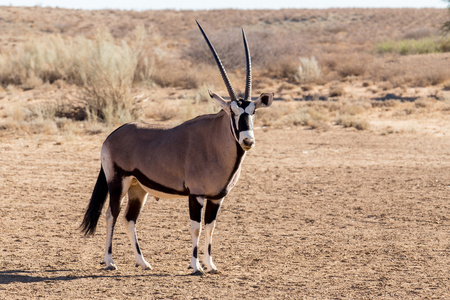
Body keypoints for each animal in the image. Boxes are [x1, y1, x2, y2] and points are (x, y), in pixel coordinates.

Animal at [79, 20, 272, 274]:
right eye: (232, 111)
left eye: (253, 111)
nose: (247, 141)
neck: (215, 141)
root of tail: (112, 135)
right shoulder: (196, 195)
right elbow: (196, 227)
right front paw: (196, 266)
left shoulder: (217, 198)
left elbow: (210, 227)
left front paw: (211, 265)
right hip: (118, 182)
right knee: (112, 214)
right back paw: (110, 261)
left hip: (138, 188)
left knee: (130, 219)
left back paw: (143, 262)